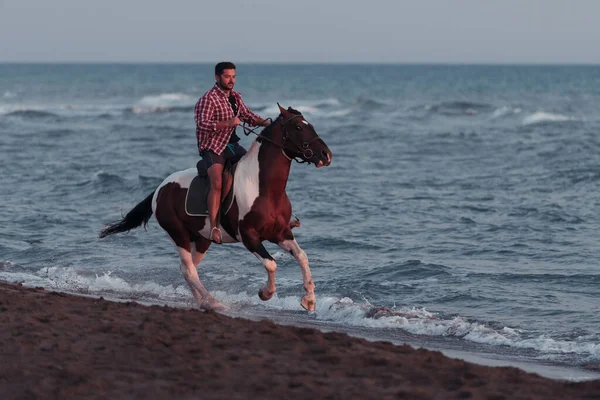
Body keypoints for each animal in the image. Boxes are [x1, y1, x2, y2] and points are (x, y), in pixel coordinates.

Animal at [99, 104, 332, 312]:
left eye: (310, 125)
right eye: (298, 128)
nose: (326, 154)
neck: (263, 188)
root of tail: (160, 188)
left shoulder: (281, 233)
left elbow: (302, 256)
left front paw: (309, 300)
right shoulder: (249, 236)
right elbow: (271, 264)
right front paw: (265, 293)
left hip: (202, 239)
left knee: (187, 269)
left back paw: (202, 301)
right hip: (179, 234)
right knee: (189, 270)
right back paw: (214, 302)